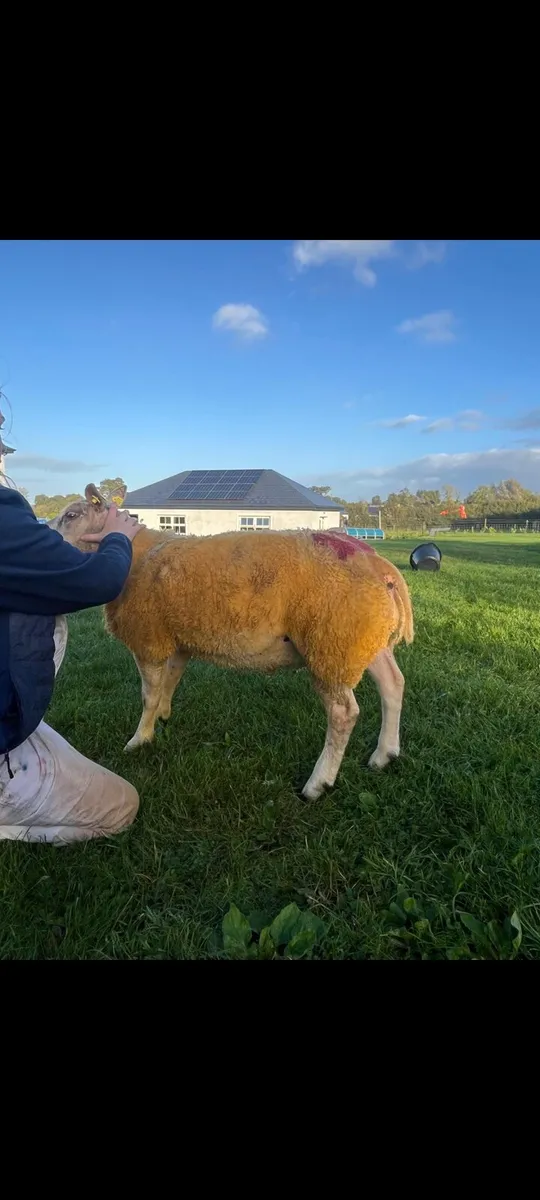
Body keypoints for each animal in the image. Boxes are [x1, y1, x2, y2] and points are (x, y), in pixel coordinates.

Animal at [51, 484, 414, 801]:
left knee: (343, 713)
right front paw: (164, 717)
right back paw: (384, 754)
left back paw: (318, 783)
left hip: (332, 643)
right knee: (393, 684)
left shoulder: (149, 637)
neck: (137, 554)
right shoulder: (178, 637)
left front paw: (140, 739)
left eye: (71, 515)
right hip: (363, 639)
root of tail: (378, 564)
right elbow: (171, 680)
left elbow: (148, 695)